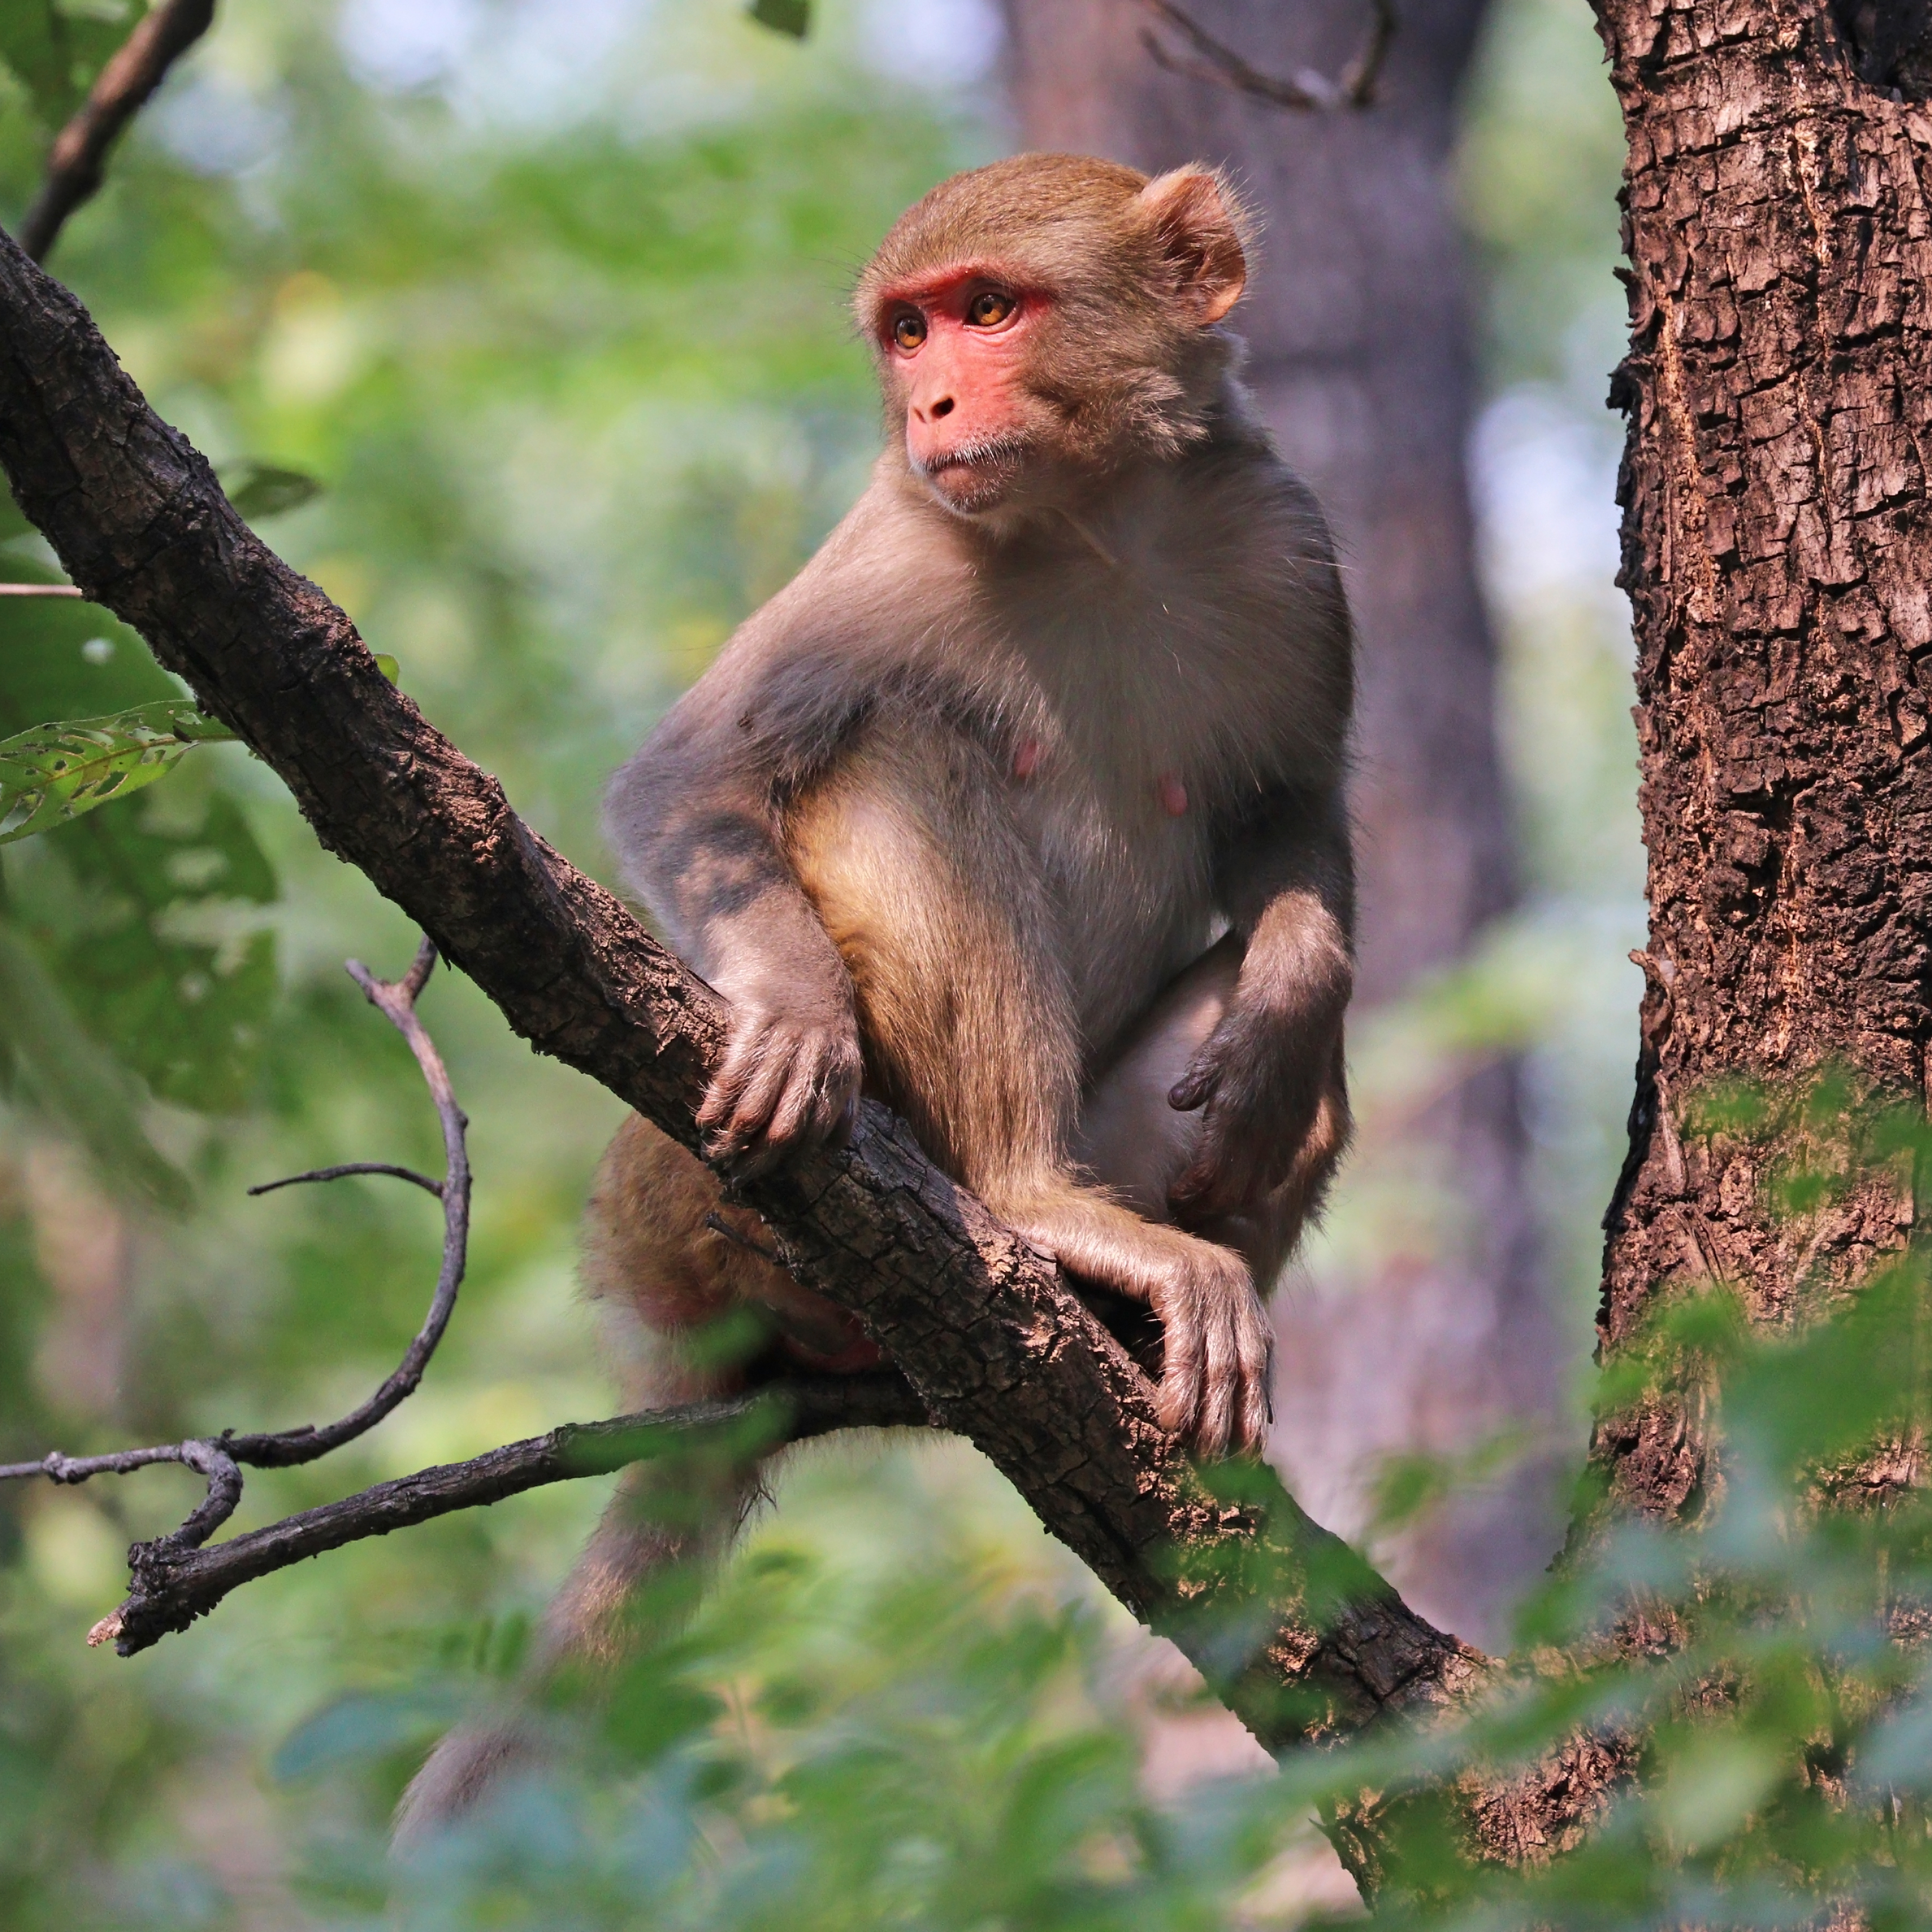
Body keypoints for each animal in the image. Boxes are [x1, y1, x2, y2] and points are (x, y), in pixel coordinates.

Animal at [396, 154, 1344, 1839]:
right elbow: (692, 778)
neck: (1097, 526)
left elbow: (1292, 808)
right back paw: (1033, 1201)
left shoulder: (1282, 541)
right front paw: (791, 1016)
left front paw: (1290, 991)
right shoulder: (889, 553)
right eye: (908, 332)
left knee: (1297, 1087)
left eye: (988, 308)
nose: (933, 404)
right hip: (676, 1211)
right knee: (900, 752)